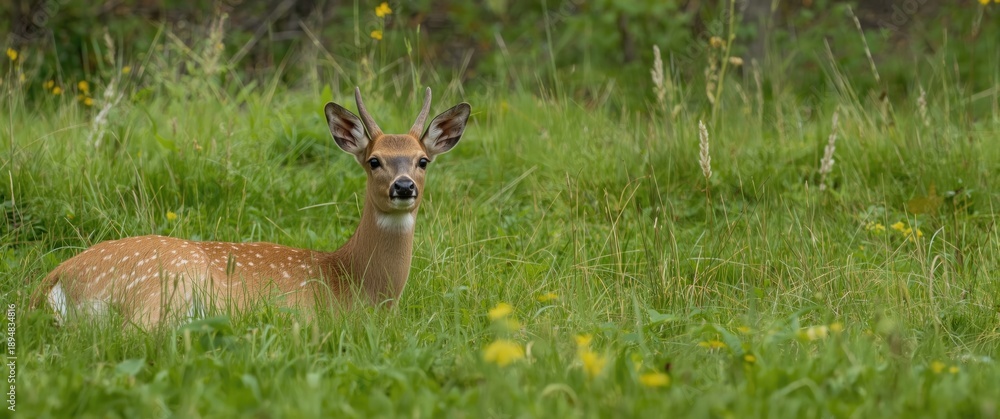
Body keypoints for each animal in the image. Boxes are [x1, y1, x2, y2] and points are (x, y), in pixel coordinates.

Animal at [37, 87, 471, 327]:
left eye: (422, 160)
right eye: (374, 160)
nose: (404, 186)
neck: (351, 282)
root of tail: (57, 276)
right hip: (163, 283)